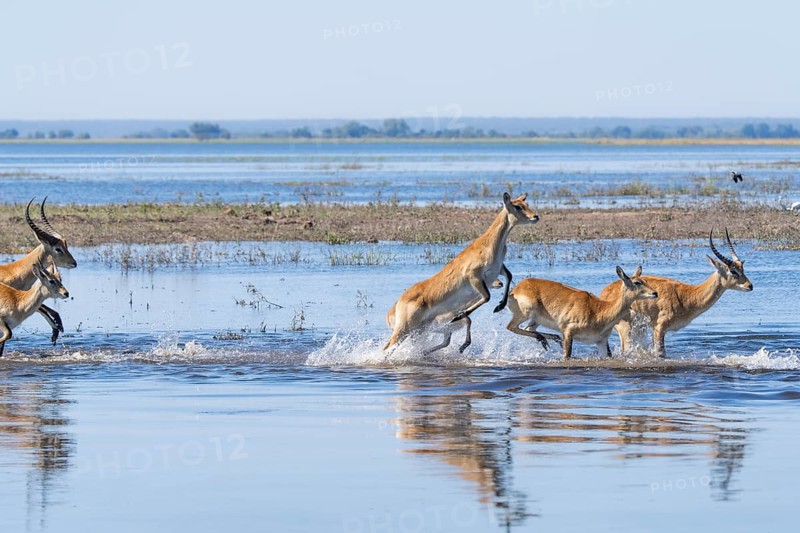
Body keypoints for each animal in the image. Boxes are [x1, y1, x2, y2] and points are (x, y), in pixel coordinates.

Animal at [384, 193, 539, 355]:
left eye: (526, 204)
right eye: (517, 206)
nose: (535, 216)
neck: (489, 245)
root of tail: (398, 303)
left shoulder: (498, 269)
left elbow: (509, 276)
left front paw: (499, 306)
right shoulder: (474, 276)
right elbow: (486, 297)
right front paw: (460, 316)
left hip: (417, 331)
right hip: (404, 329)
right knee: (386, 348)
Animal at [505, 266, 658, 359]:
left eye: (644, 280)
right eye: (637, 282)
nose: (655, 293)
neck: (599, 311)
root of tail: (515, 289)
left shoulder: (601, 341)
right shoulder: (568, 332)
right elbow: (567, 356)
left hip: (535, 320)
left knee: (528, 329)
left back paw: (549, 340)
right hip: (526, 312)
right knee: (511, 327)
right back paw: (544, 339)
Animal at [599, 229, 753, 357]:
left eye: (742, 268)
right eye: (733, 271)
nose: (750, 286)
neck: (687, 296)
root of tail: (605, 292)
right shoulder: (659, 328)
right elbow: (661, 354)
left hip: (638, 329)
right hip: (626, 329)